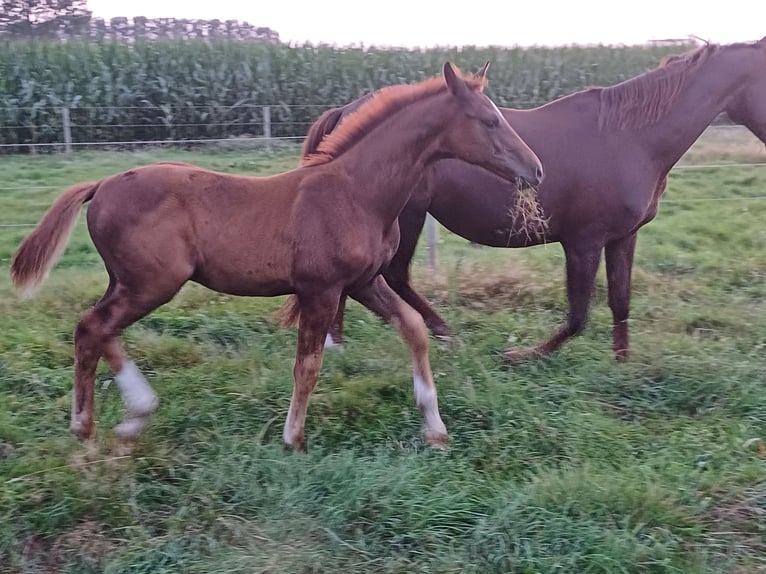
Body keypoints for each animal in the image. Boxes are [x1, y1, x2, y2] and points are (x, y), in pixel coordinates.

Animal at [9, 62, 544, 450]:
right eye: (489, 119)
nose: (535, 169)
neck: (355, 192)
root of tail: (101, 185)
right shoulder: (321, 289)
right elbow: (307, 364)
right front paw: (293, 437)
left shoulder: (364, 282)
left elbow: (413, 328)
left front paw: (434, 427)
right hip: (151, 283)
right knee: (93, 328)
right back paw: (87, 426)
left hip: (131, 281)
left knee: (99, 330)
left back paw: (133, 416)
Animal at [314, 39, 766, 364]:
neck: (631, 138)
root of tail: (345, 111)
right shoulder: (584, 242)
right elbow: (578, 316)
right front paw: (520, 355)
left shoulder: (624, 237)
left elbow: (620, 301)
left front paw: (623, 366)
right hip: (407, 216)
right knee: (394, 276)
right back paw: (442, 335)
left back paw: (336, 343)